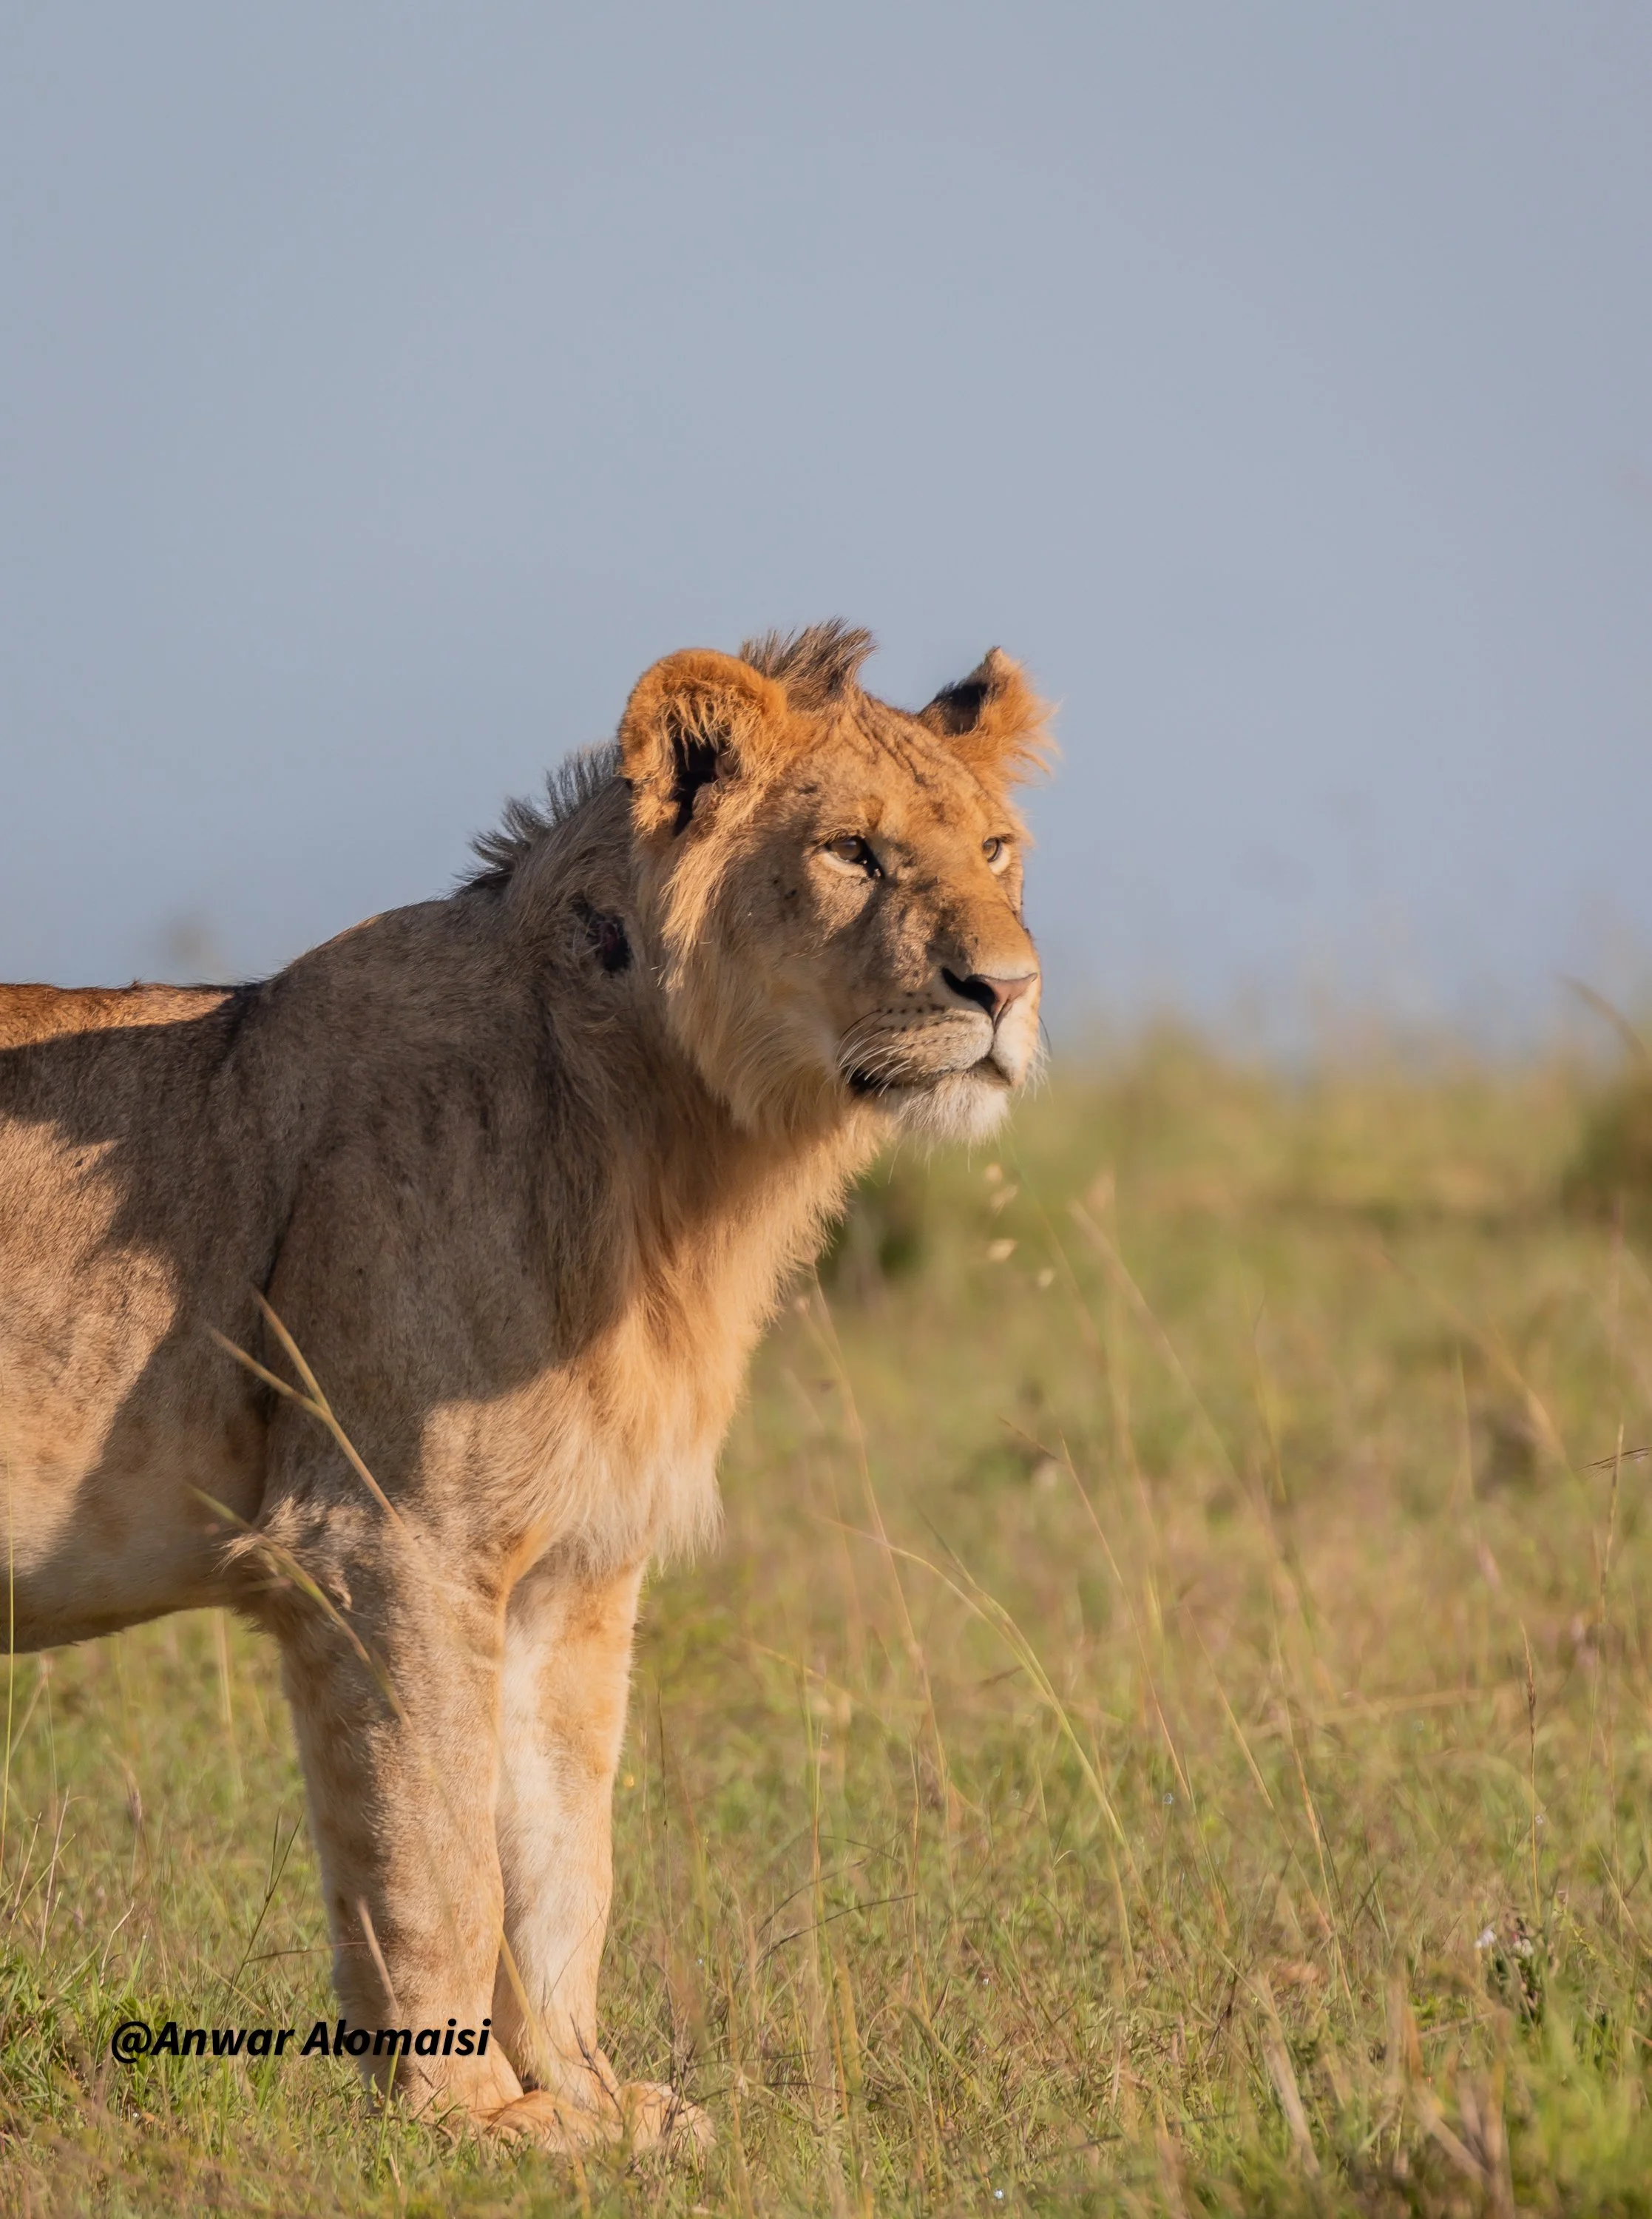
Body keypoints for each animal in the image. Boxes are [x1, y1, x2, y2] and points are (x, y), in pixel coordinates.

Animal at [0, 623, 1047, 2151]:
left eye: (995, 848)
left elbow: (560, 1857)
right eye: (851, 852)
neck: (674, 1160)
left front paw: (596, 2100)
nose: (1006, 992)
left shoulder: (573, 1570)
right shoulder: (386, 1541)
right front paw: (474, 2119)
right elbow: (437, 1854)